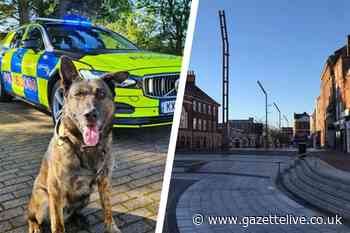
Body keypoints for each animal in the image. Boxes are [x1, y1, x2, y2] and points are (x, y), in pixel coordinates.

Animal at [27, 56, 129, 233]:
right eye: (78, 95)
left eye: (101, 94)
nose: (90, 114)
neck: (87, 148)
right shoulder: (56, 188)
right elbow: (57, 223)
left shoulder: (104, 181)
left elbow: (108, 209)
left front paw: (111, 227)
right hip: (44, 199)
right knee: (32, 216)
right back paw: (34, 225)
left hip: (84, 197)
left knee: (72, 213)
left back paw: (78, 219)